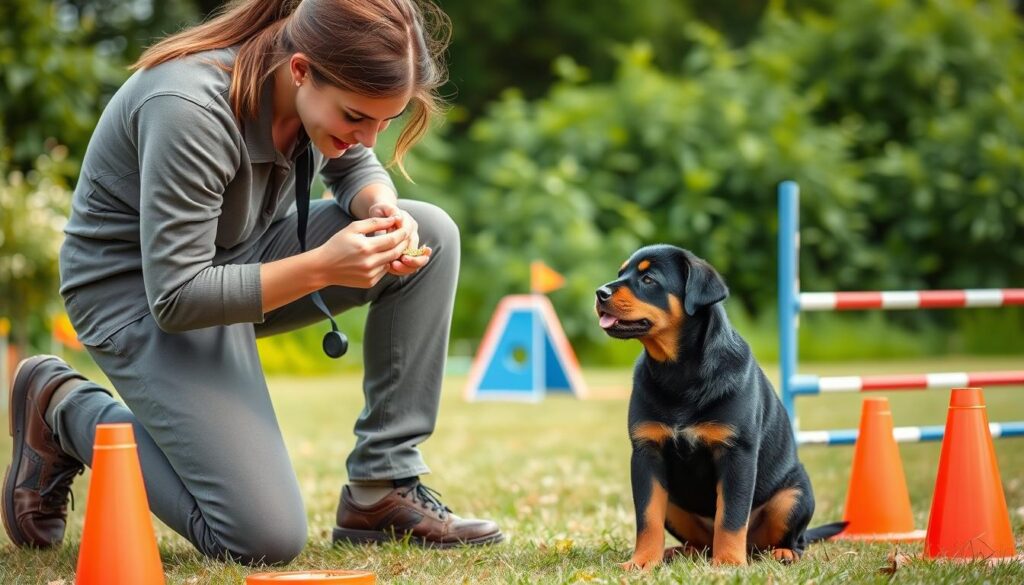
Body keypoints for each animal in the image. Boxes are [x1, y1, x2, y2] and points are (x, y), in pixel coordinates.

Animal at [598, 243, 843, 569]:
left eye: (649, 279)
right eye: (621, 273)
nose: (600, 293)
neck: (678, 371)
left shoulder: (736, 452)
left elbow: (731, 516)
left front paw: (727, 564)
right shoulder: (646, 453)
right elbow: (647, 518)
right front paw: (642, 562)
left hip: (793, 496)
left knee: (793, 539)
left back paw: (782, 552)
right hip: (674, 502)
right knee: (699, 541)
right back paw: (679, 552)